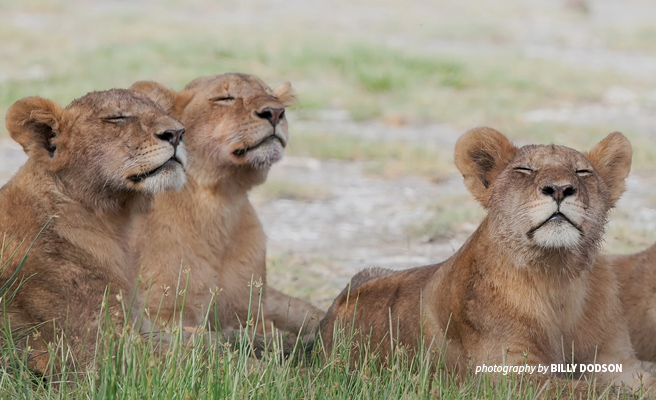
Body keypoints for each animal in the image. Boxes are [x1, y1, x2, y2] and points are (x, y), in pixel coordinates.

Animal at [0, 88, 187, 372]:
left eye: (162, 111)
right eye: (116, 117)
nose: (177, 133)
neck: (112, 222)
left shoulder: (137, 323)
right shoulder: (98, 350)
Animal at [129, 74, 324, 346]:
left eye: (271, 95)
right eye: (225, 98)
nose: (275, 112)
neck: (221, 204)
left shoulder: (252, 314)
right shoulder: (161, 316)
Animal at [320, 128, 656, 394]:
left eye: (582, 172)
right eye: (525, 169)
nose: (560, 189)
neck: (557, 275)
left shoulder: (618, 363)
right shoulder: (510, 378)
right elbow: (595, 391)